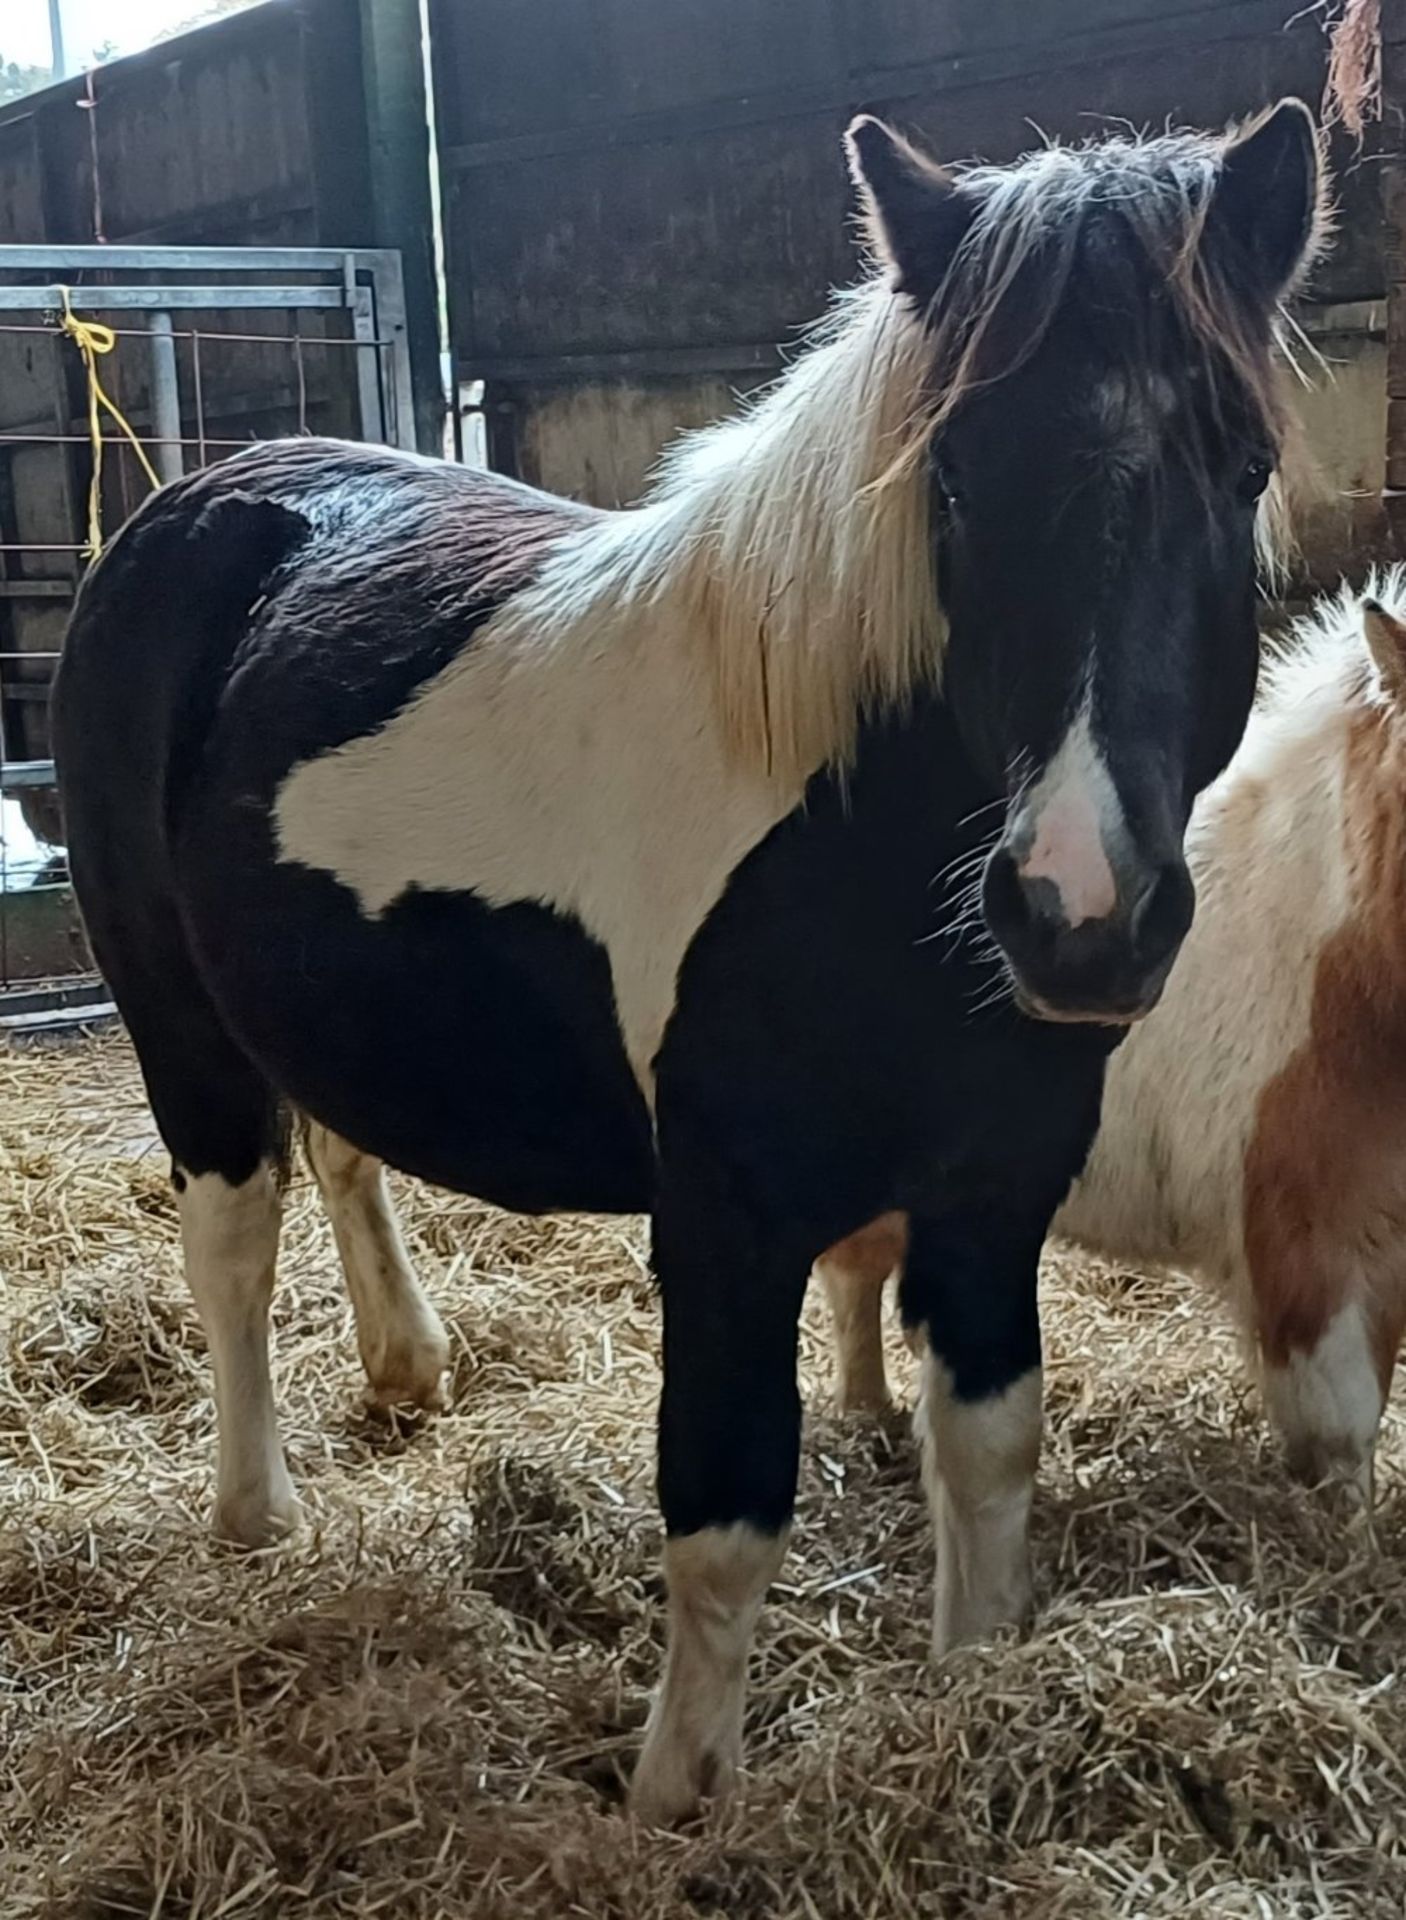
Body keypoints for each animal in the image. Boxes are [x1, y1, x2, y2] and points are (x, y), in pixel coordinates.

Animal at [54, 105, 1321, 1812]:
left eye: (1239, 467)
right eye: (956, 476)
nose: (1079, 910)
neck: (852, 844)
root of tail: (199, 501)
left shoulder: (996, 1196)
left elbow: (987, 1461)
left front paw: (974, 1697)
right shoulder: (724, 1225)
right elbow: (723, 1515)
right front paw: (676, 1800)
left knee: (339, 1150)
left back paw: (406, 1366)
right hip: (176, 1020)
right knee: (232, 1244)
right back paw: (258, 1514)